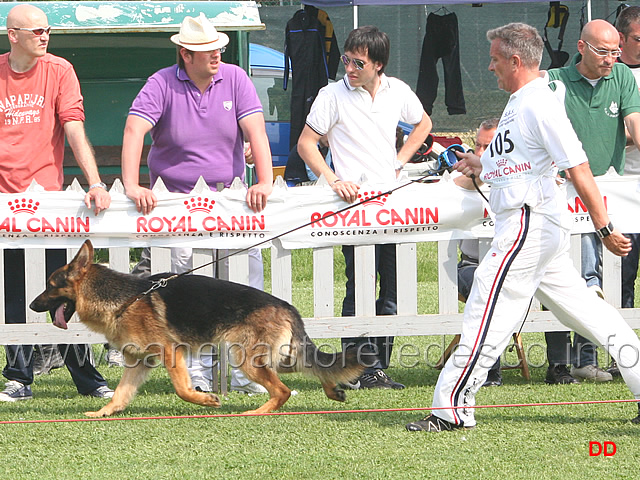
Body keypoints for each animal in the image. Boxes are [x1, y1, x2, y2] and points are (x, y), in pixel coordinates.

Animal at [28, 240, 364, 416]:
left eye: (49, 286)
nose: (30, 305)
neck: (124, 299)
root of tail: (287, 307)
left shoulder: (170, 353)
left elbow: (182, 389)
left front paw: (207, 400)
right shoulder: (137, 363)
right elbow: (120, 394)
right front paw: (102, 414)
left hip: (245, 359)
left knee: (282, 390)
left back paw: (257, 412)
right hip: (278, 358)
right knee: (314, 368)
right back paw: (333, 390)